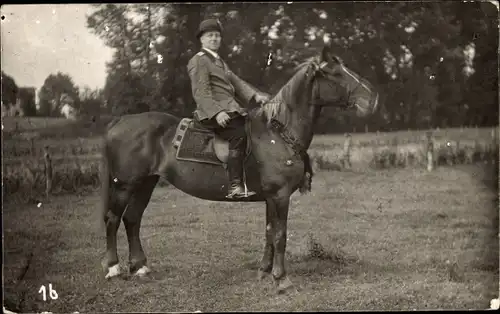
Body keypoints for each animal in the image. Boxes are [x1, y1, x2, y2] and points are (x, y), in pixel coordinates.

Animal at [99, 44, 376, 292]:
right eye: (335, 74)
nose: (372, 100)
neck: (278, 133)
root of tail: (120, 121)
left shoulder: (270, 197)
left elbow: (269, 233)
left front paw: (264, 272)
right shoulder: (280, 195)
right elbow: (280, 235)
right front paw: (281, 279)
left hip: (146, 183)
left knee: (132, 219)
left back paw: (140, 267)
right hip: (125, 185)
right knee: (113, 219)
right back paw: (113, 268)